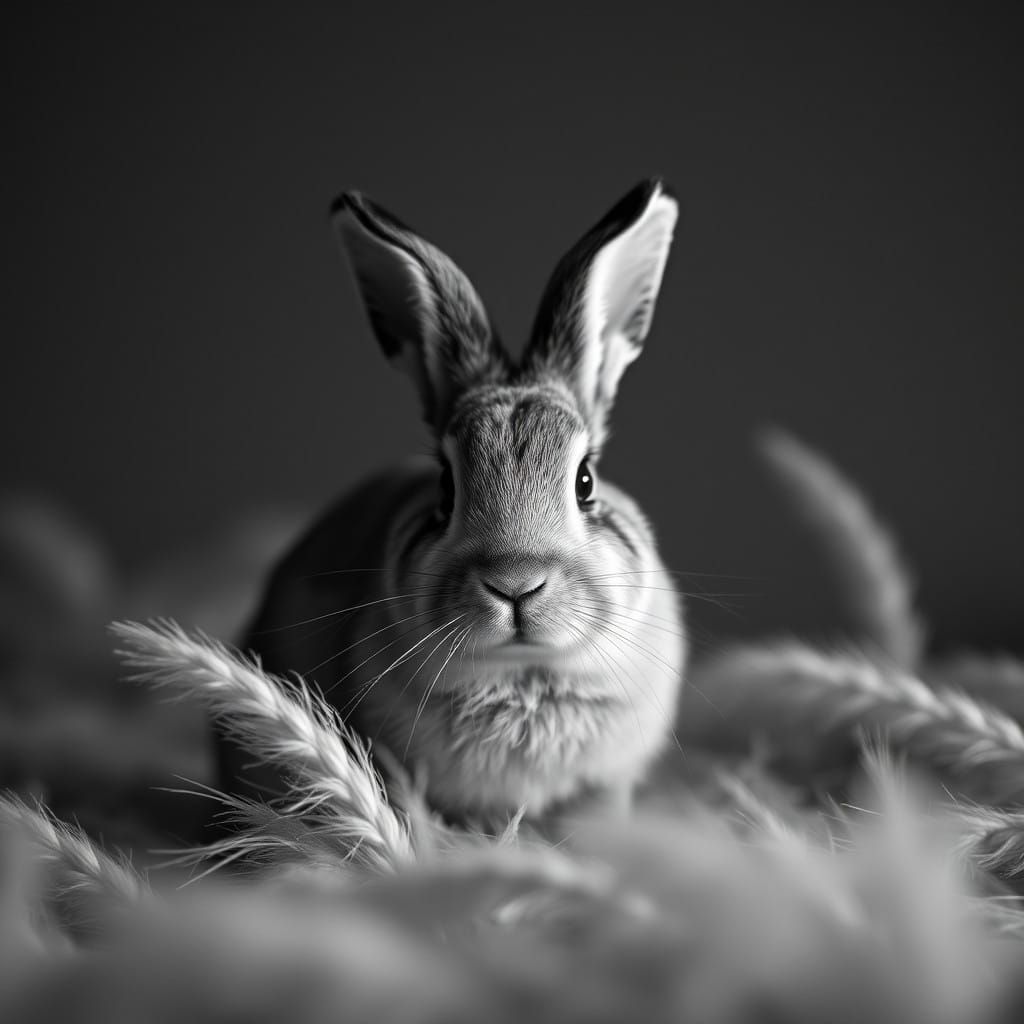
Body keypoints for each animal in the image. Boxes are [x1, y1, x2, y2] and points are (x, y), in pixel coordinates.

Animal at [214, 178, 687, 828]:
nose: (516, 585)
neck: (522, 675)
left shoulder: (604, 787)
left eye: (586, 481)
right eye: (445, 487)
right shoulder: (393, 768)